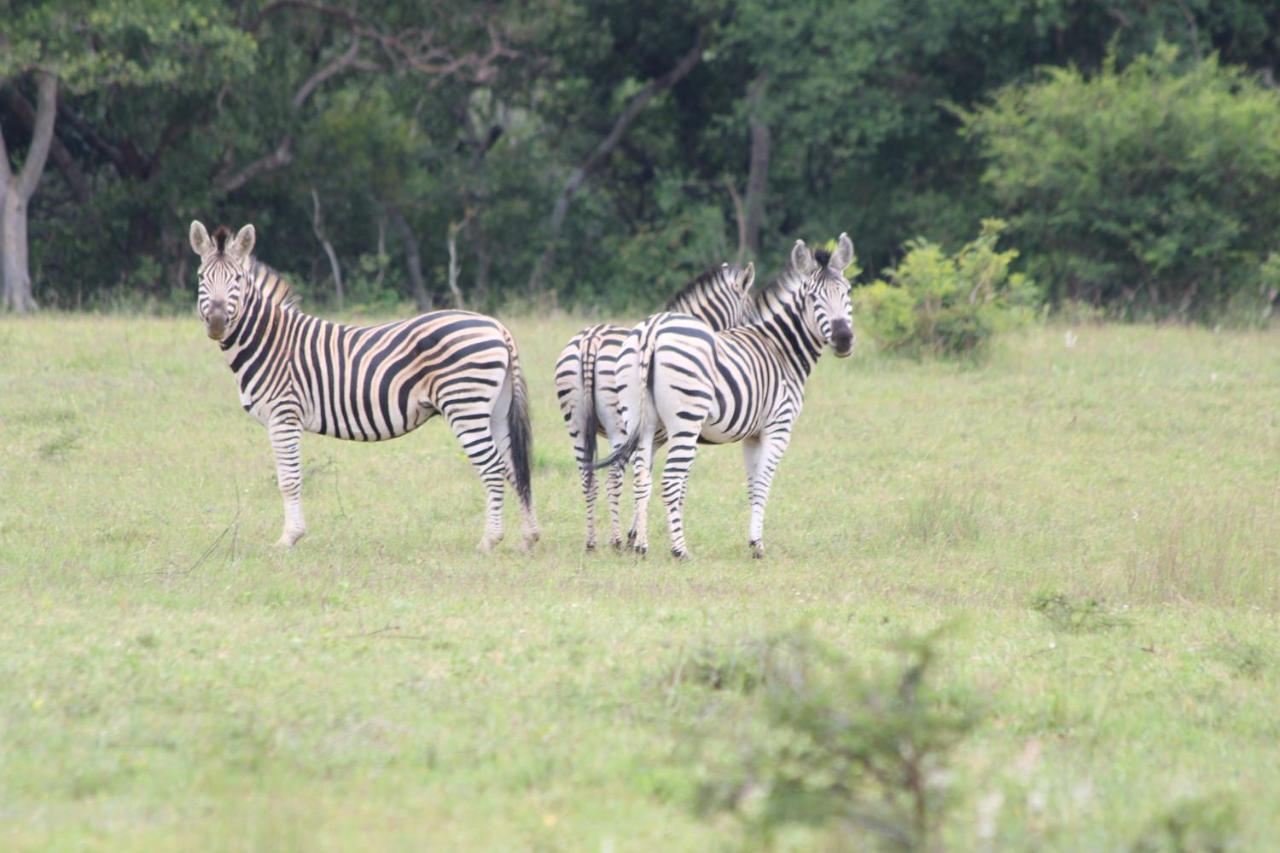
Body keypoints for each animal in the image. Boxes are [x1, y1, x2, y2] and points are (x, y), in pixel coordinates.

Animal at [186, 219, 537, 548]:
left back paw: (489, 540)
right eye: (202, 278)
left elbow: (289, 479)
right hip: (495, 410)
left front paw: (289, 538)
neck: (270, 341)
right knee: (514, 467)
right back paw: (528, 538)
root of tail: (495, 325)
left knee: (493, 468)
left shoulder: (284, 415)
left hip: (465, 406)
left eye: (237, 279)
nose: (216, 322)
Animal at [555, 262, 752, 548]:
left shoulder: (654, 439)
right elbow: (674, 485)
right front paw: (641, 537)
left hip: (576, 423)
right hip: (618, 426)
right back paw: (615, 541)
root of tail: (592, 339)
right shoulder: (681, 434)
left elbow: (644, 480)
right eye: (750, 310)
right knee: (613, 479)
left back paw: (592, 542)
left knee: (587, 477)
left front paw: (636, 535)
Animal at [593, 234, 855, 558]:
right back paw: (680, 550)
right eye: (812, 297)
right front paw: (758, 546)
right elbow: (763, 484)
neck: (780, 348)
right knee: (669, 480)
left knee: (641, 476)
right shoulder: (778, 428)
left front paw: (753, 541)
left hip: (638, 420)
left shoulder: (752, 436)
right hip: (685, 420)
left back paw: (640, 547)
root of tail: (651, 331)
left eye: (847, 292)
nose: (844, 339)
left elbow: (753, 486)